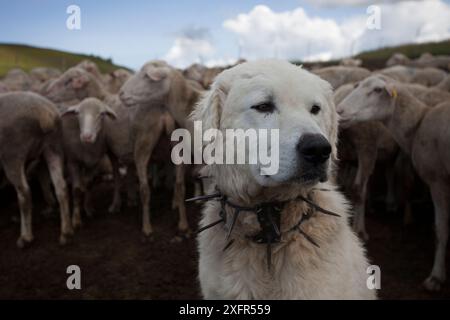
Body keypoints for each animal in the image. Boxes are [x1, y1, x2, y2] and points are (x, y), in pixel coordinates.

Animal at [0, 91, 71, 246]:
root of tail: (44, 113)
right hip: (53, 146)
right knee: (61, 187)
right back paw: (65, 232)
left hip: (13, 155)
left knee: (25, 193)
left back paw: (25, 237)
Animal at [60, 97, 118, 228]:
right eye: (77, 113)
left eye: (102, 114)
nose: (87, 136)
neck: (87, 148)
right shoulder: (73, 162)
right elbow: (76, 190)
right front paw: (76, 220)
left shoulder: (94, 163)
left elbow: (88, 184)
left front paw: (88, 209)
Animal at [336, 74, 450, 292]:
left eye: (378, 90)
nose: (340, 111)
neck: (420, 120)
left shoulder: (438, 182)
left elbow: (440, 228)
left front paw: (436, 277)